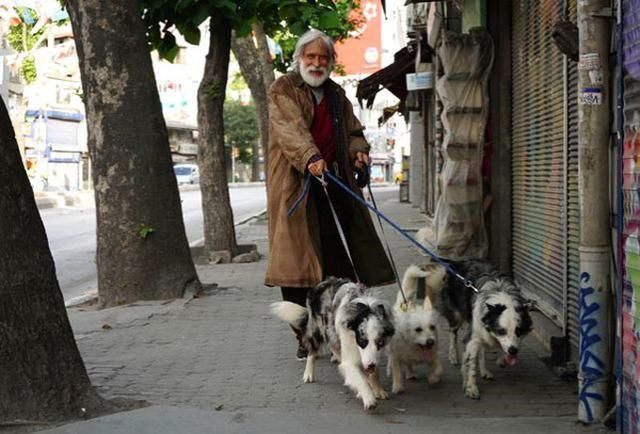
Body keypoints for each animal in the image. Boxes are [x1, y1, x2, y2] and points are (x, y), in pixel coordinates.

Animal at [384, 264, 444, 394]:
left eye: (432, 327)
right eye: (418, 329)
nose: (430, 342)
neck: (415, 346)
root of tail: (402, 305)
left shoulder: (432, 356)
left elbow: (439, 369)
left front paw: (433, 379)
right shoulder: (396, 357)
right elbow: (397, 372)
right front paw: (397, 387)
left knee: (409, 364)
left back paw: (411, 374)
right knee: (391, 358)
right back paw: (390, 369)